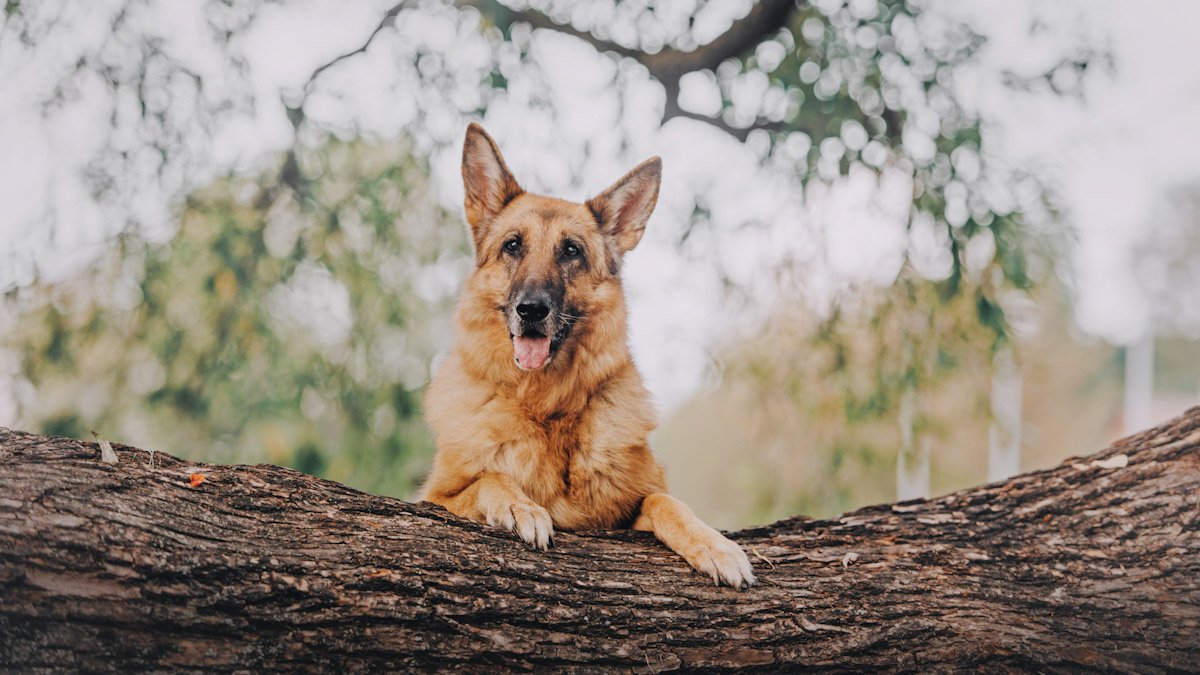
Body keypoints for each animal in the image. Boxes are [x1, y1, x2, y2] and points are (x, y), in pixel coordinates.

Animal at [422, 123, 753, 586]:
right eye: (512, 245)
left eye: (571, 250)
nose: (531, 310)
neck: (549, 408)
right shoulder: (434, 499)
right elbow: (489, 478)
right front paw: (520, 506)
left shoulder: (635, 505)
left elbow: (666, 502)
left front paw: (714, 545)